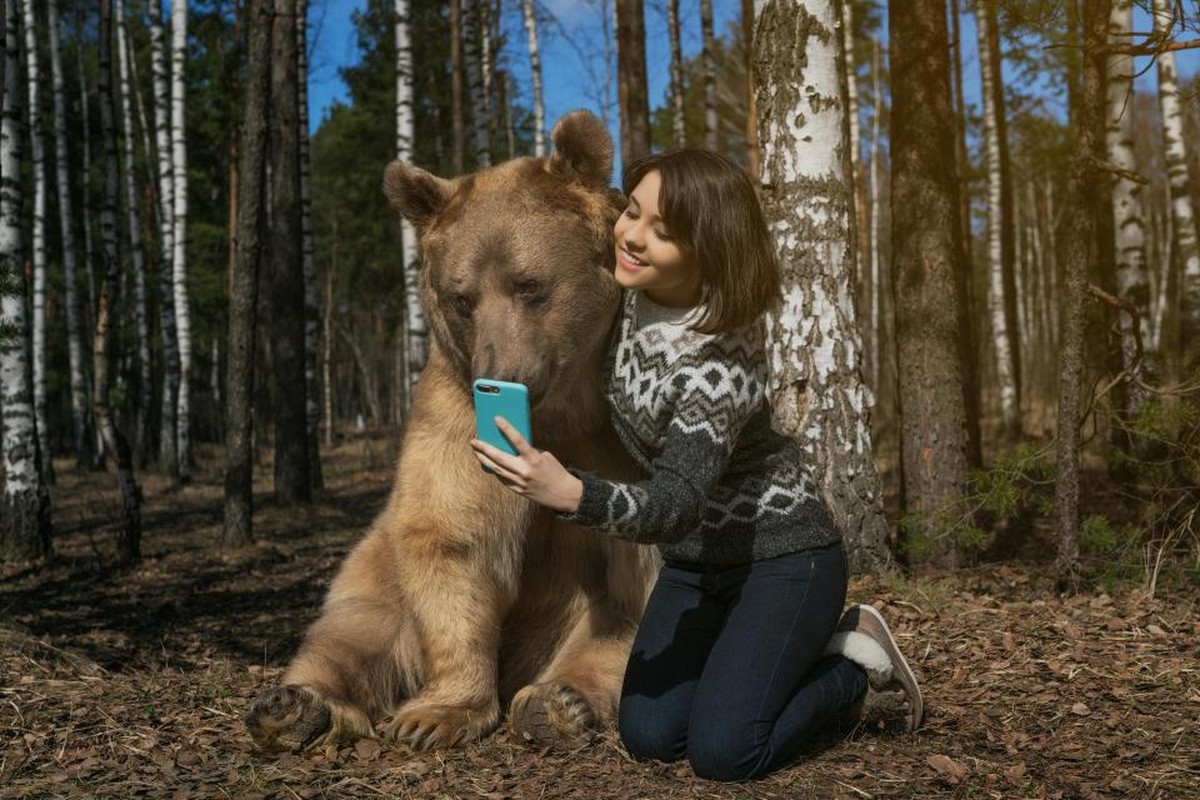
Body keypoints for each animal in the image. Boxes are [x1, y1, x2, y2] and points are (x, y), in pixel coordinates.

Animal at [243, 109, 657, 753]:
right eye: (462, 298)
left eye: (529, 284)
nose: (500, 374)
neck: (566, 410)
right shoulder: (453, 411)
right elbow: (452, 534)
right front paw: (433, 715)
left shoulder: (618, 443)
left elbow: (636, 577)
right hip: (377, 572)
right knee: (349, 633)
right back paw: (294, 706)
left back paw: (557, 702)